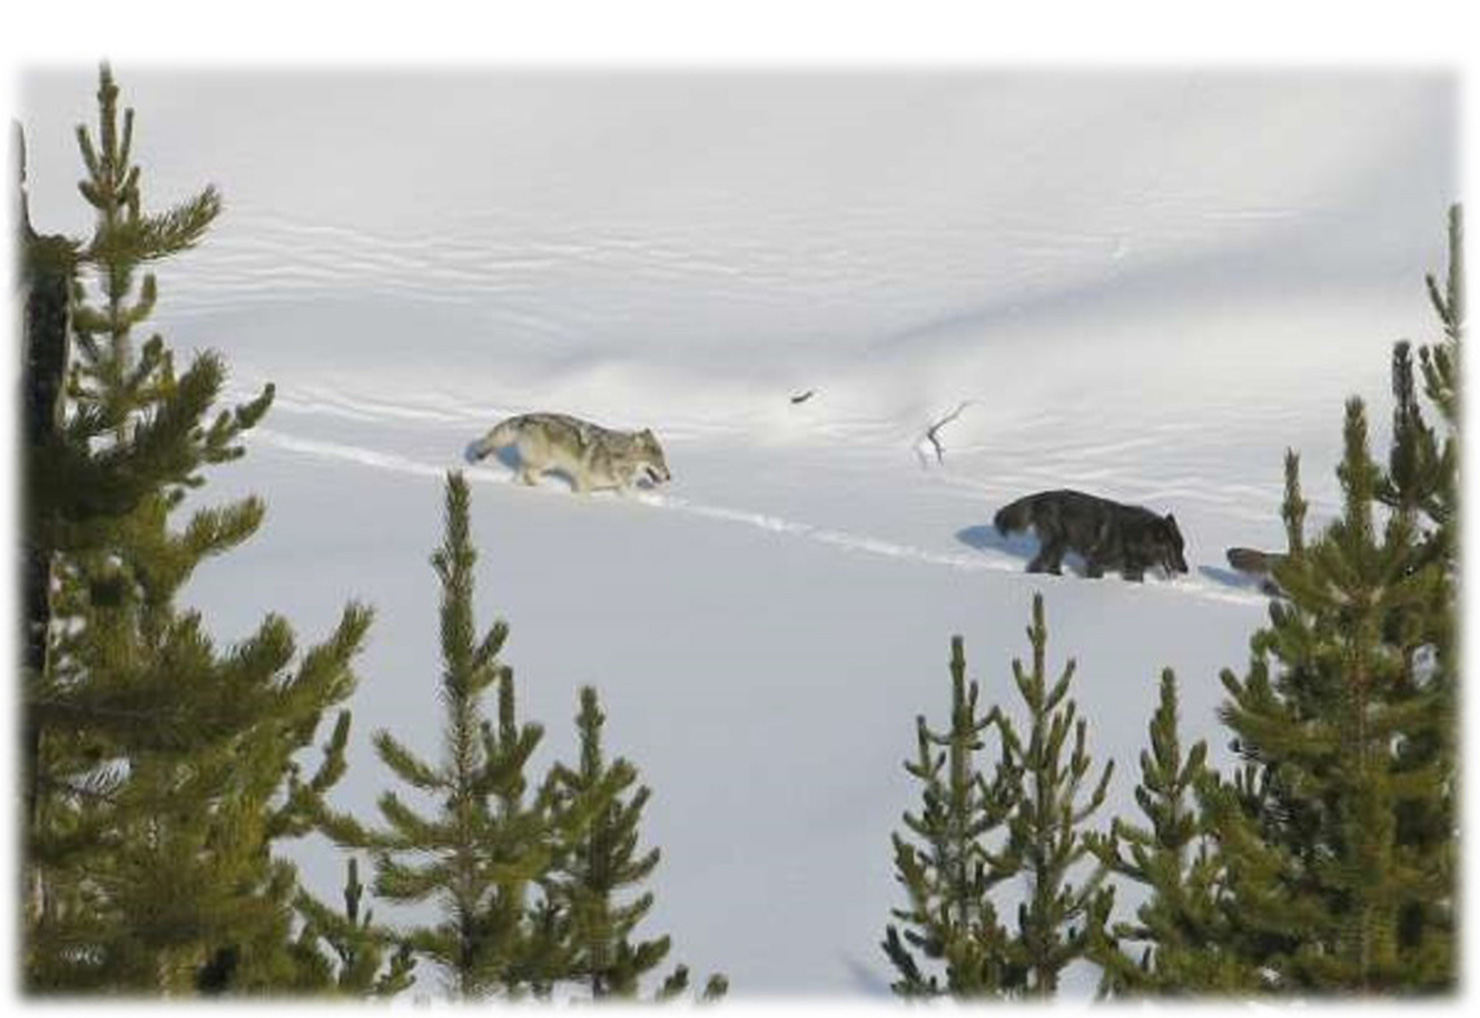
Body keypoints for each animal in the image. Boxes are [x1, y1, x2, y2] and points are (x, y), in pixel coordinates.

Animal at [466, 412, 672, 494]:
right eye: (659, 462)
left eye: (664, 460)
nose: (670, 477)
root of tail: (526, 417)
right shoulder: (583, 483)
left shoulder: (621, 487)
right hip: (544, 463)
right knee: (530, 476)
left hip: (535, 462)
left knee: (520, 474)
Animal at [992, 489, 1189, 581]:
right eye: (1174, 549)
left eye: (1182, 548)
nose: (1186, 570)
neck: (1135, 535)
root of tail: (1040, 497)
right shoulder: (1095, 562)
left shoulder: (1134, 571)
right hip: (1056, 544)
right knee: (1036, 565)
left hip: (1061, 547)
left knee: (1050, 566)